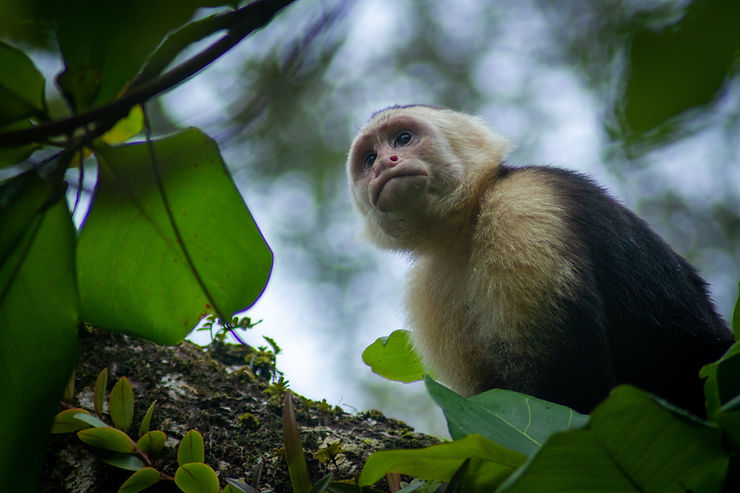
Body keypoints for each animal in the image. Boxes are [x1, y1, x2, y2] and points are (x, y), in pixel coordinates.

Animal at [348, 104, 736, 416]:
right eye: (368, 160)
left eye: (403, 138)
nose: (384, 163)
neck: (467, 223)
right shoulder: (428, 287)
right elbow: (489, 395)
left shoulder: (523, 209)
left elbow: (569, 391)